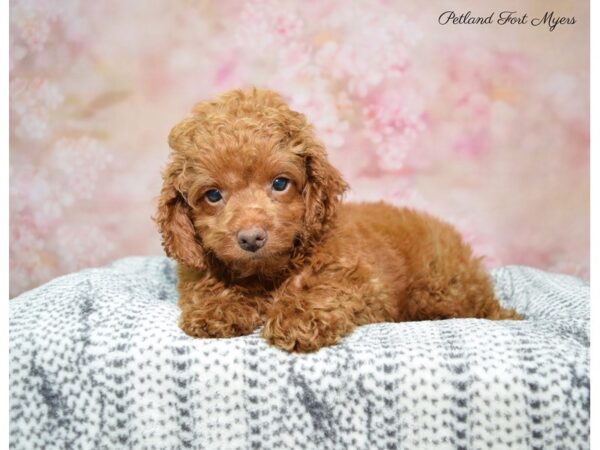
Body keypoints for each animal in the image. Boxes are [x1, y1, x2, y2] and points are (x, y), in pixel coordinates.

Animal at [155, 88, 520, 354]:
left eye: (280, 183)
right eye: (213, 195)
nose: (252, 238)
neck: (267, 272)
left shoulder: (362, 282)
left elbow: (326, 287)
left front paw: (297, 317)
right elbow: (208, 287)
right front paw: (218, 309)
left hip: (444, 291)